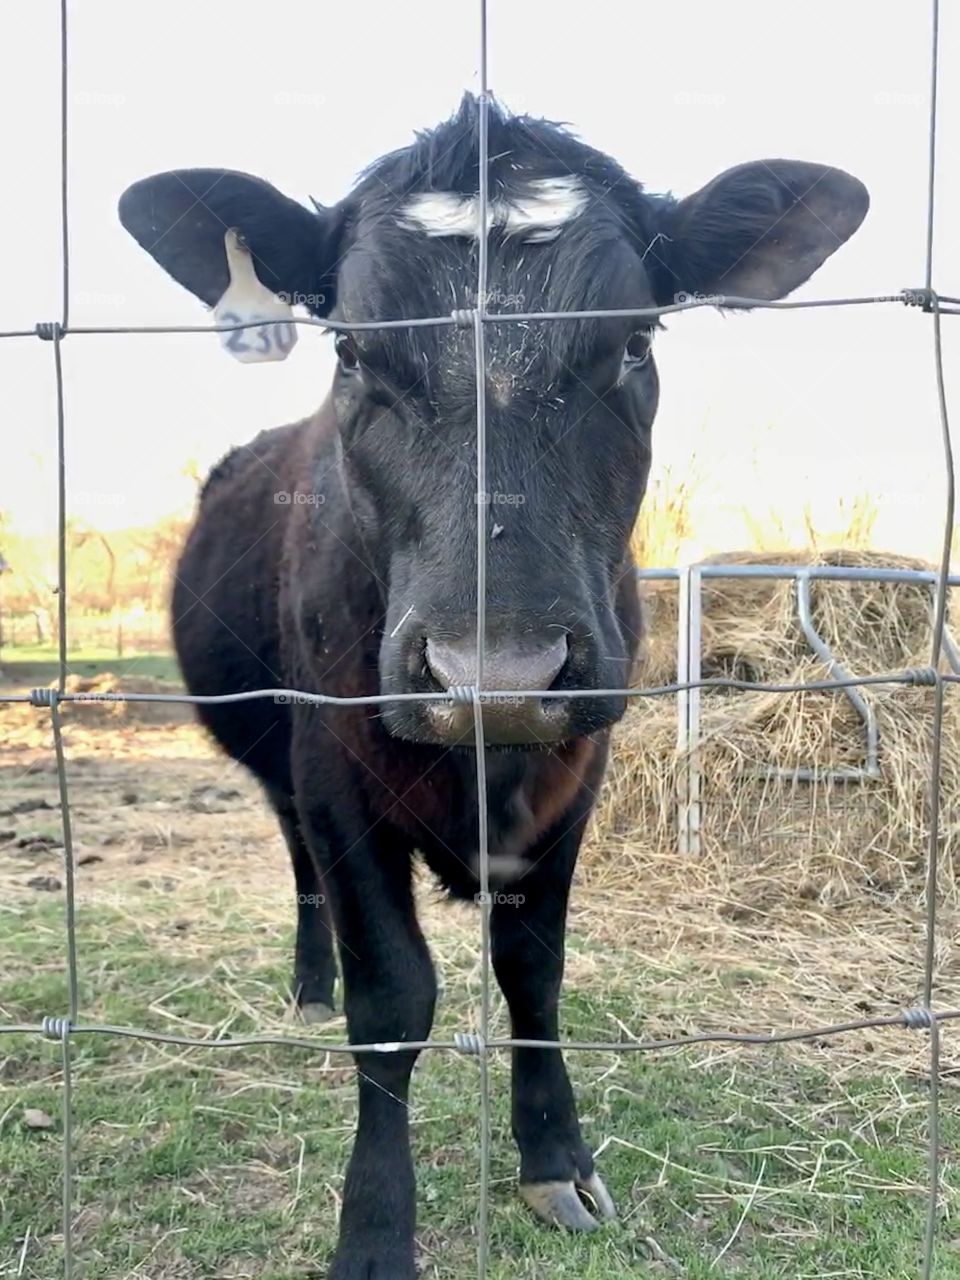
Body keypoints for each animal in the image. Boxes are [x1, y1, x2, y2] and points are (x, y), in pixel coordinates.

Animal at [120, 94, 870, 1274]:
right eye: (351, 349)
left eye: (633, 340)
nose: (497, 675)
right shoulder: (335, 766)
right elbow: (392, 996)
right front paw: (375, 1228)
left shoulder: (576, 771)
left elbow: (533, 970)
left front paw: (555, 1159)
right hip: (277, 759)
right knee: (297, 864)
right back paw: (309, 980)